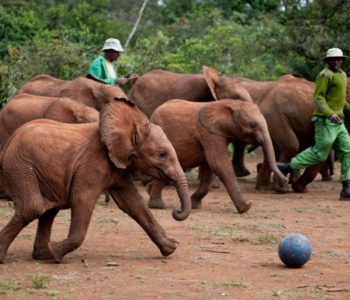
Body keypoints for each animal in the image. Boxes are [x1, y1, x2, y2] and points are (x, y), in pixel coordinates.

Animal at [0, 98, 191, 262]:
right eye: (162, 154)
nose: (176, 211)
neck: (131, 125)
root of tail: (9, 143)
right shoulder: (93, 163)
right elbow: (83, 199)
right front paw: (57, 252)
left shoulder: (117, 166)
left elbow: (133, 204)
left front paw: (171, 248)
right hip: (20, 165)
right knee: (33, 207)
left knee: (48, 210)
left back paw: (44, 255)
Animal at [148, 98, 288, 211]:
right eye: (252, 125)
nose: (286, 181)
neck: (232, 104)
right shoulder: (209, 133)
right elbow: (218, 163)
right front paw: (246, 207)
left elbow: (209, 167)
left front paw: (195, 205)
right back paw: (158, 205)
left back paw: (149, 191)